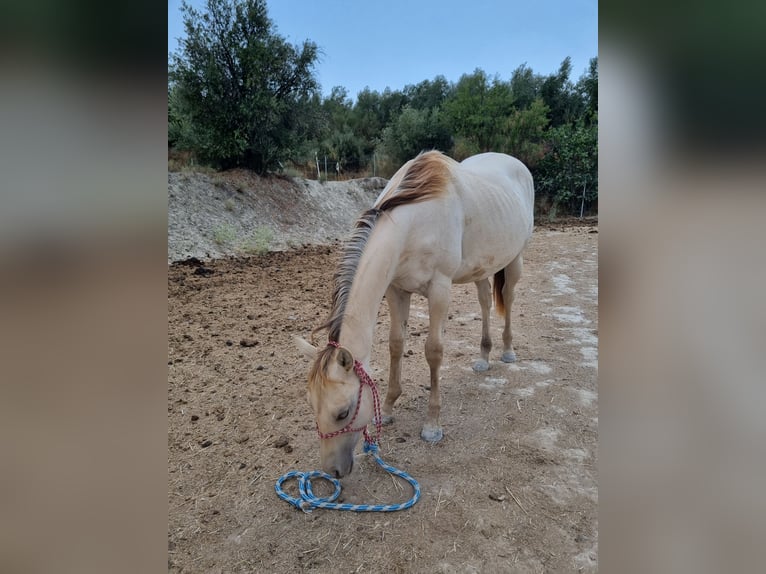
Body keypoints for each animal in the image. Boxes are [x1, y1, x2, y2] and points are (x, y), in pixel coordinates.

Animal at [296, 150, 534, 478]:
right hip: (481, 267)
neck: (416, 221)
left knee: (507, 300)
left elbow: (433, 351)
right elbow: (396, 345)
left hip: (514, 260)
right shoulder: (397, 290)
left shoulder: (440, 289)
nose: (333, 472)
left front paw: (432, 425)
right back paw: (483, 357)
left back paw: (508, 351)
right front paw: (388, 409)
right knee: (485, 302)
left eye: (343, 412)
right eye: (311, 405)